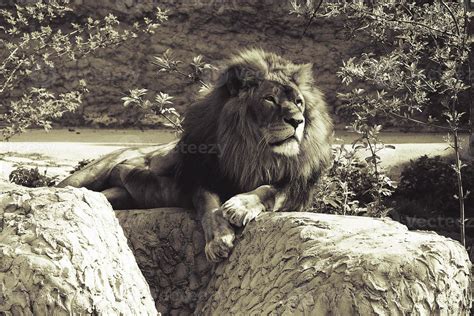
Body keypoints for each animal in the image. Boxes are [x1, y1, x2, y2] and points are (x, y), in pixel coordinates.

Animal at [58, 48, 334, 262]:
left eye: (298, 102)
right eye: (269, 99)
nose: (297, 121)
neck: (252, 150)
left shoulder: (296, 187)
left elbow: (268, 191)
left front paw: (240, 206)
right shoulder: (202, 178)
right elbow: (209, 208)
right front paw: (219, 239)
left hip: (119, 195)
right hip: (89, 175)